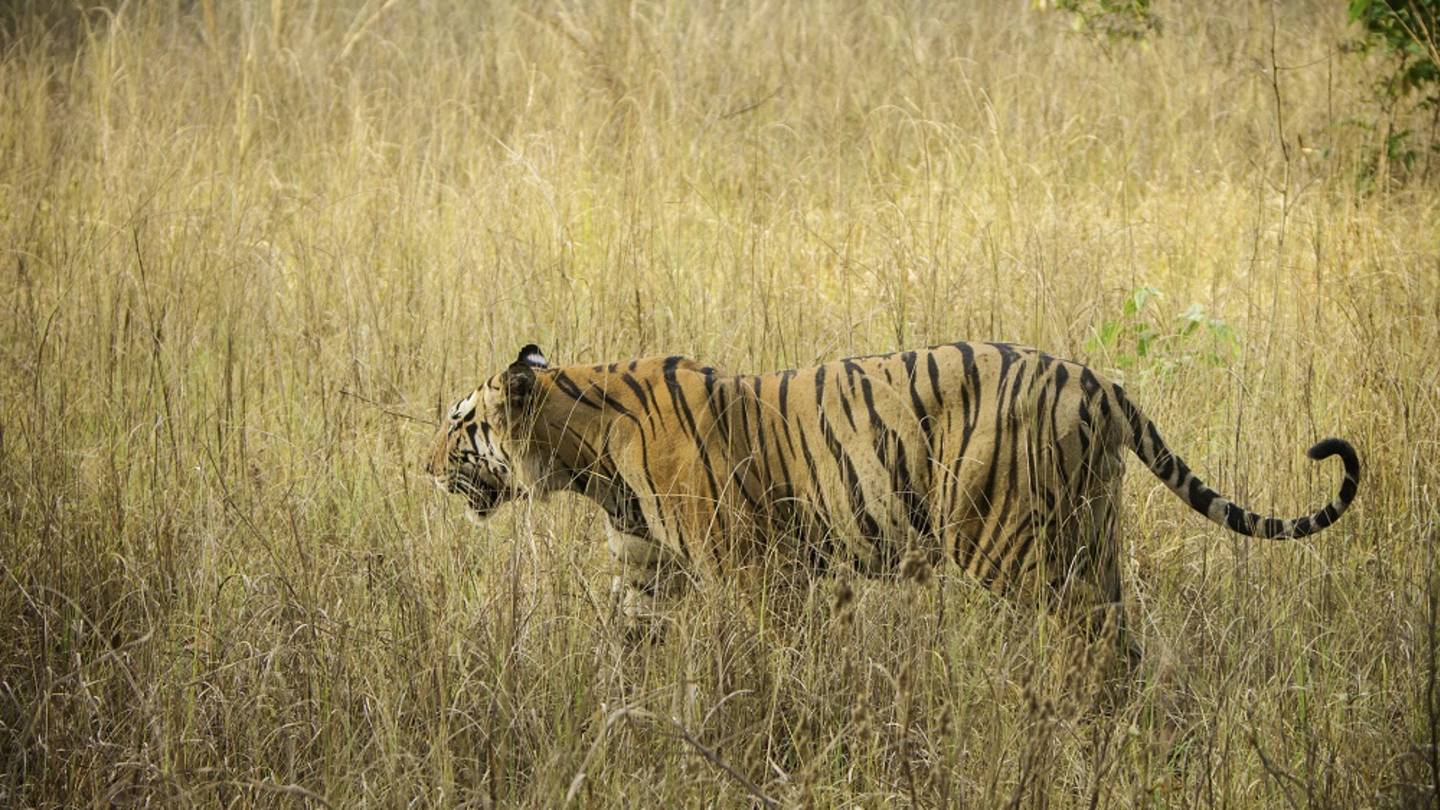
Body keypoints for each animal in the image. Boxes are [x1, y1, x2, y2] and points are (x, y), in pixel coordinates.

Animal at [423, 340, 1359, 657]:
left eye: (460, 422)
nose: (424, 468)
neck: (584, 458)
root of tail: (1101, 382)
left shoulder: (758, 570)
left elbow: (774, 659)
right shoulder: (646, 577)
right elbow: (624, 655)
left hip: (1007, 540)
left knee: (1088, 635)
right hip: (1094, 531)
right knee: (1120, 634)